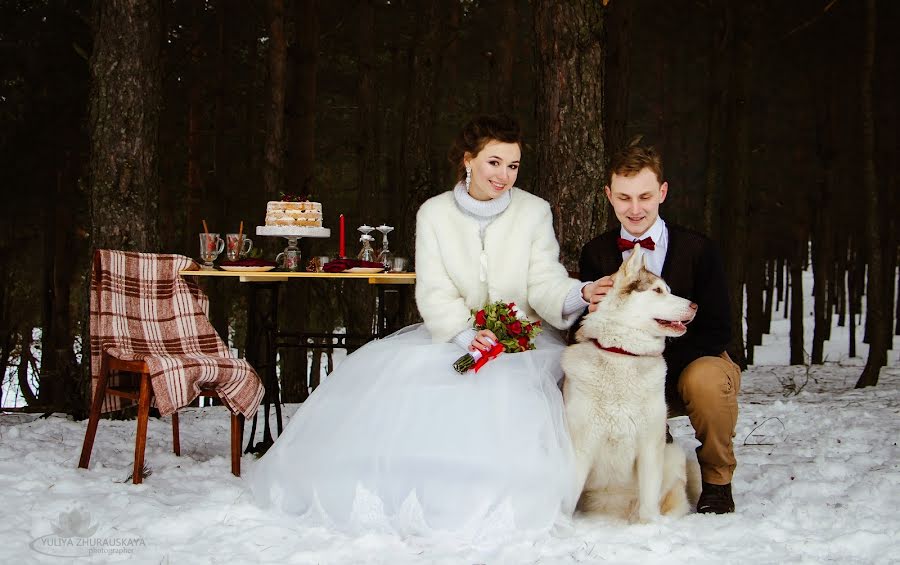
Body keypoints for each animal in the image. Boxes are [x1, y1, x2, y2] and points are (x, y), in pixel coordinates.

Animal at [564, 243, 704, 520]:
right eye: (658, 290)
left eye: (668, 289)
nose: (695, 305)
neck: (621, 353)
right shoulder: (580, 446)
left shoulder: (651, 445)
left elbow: (649, 503)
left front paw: (648, 526)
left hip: (672, 457)